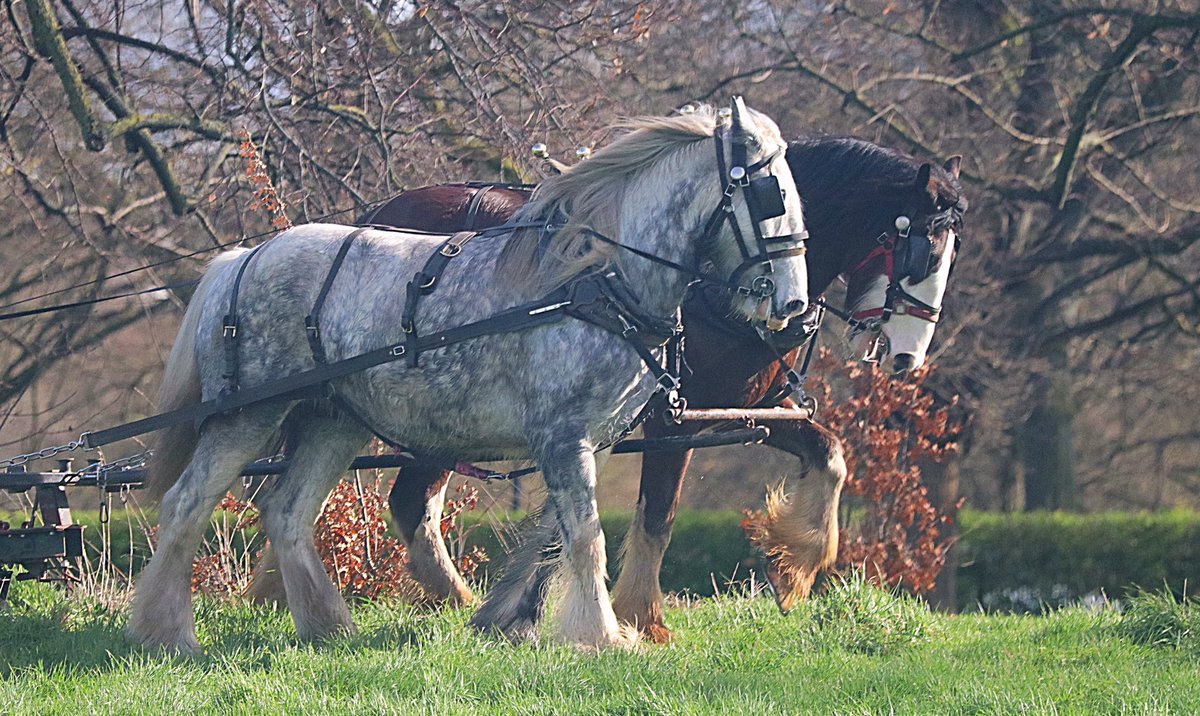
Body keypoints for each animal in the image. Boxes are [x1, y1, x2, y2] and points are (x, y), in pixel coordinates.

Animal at [129, 100, 806, 652]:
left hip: (334, 421)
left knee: (289, 513)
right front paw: (603, 638)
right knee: (187, 503)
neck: (594, 278)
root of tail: (245, 257)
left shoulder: (594, 440)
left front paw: (507, 619)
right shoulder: (565, 437)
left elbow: (555, 536)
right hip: (249, 413)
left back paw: (329, 627)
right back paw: (168, 634)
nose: (793, 306)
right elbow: (585, 537)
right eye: (768, 193)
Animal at [250, 136, 964, 638]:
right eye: (924, 248)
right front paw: (642, 617)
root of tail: (376, 215)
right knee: (397, 499)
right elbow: (657, 514)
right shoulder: (672, 419)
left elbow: (831, 455)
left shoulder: (749, 408)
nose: (908, 358)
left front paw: (795, 571)